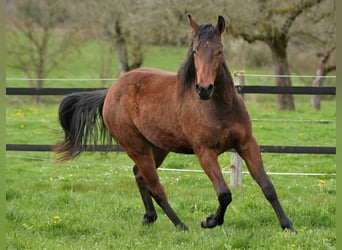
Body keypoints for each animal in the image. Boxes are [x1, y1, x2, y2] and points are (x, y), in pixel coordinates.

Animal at [54, 14, 296, 231]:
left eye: (219, 51)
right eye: (195, 51)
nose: (204, 89)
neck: (220, 107)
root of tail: (111, 91)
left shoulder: (246, 144)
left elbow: (267, 186)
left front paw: (288, 226)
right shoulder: (205, 152)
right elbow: (224, 193)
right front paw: (209, 221)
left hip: (157, 148)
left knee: (140, 175)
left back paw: (149, 217)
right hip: (137, 147)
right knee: (156, 187)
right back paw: (181, 225)